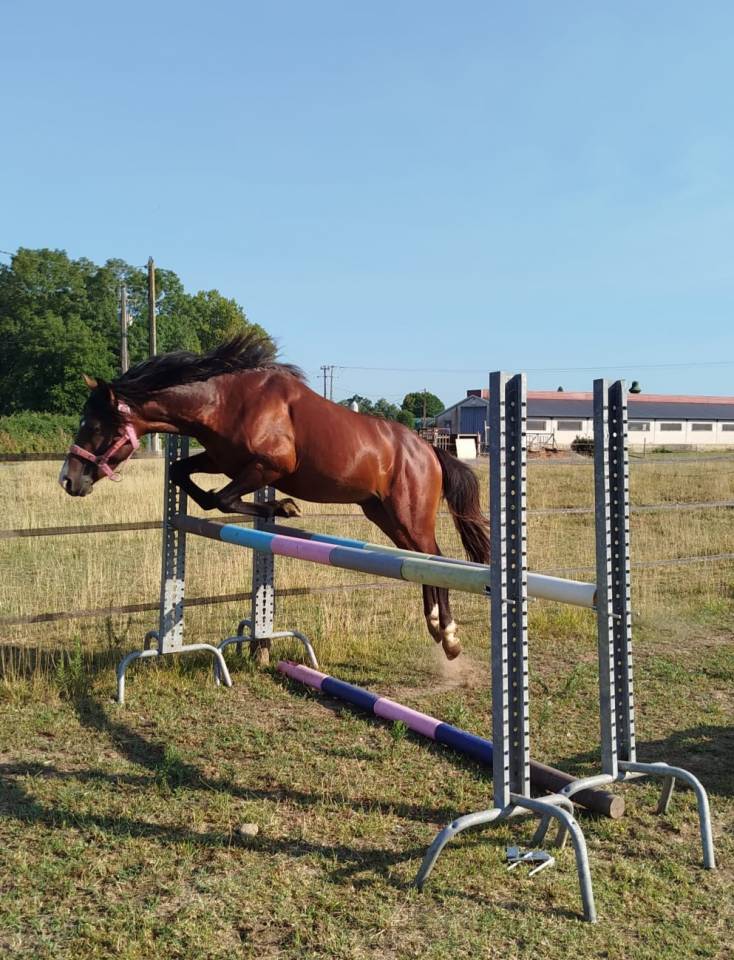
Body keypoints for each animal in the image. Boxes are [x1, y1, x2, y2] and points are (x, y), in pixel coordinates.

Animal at [60, 333, 489, 659]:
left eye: (95, 426)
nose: (68, 480)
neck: (223, 402)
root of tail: (429, 449)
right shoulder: (223, 460)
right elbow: (184, 476)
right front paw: (278, 507)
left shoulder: (268, 467)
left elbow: (222, 499)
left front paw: (282, 506)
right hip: (383, 514)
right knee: (422, 561)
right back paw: (434, 626)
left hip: (408, 514)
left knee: (435, 557)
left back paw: (449, 635)